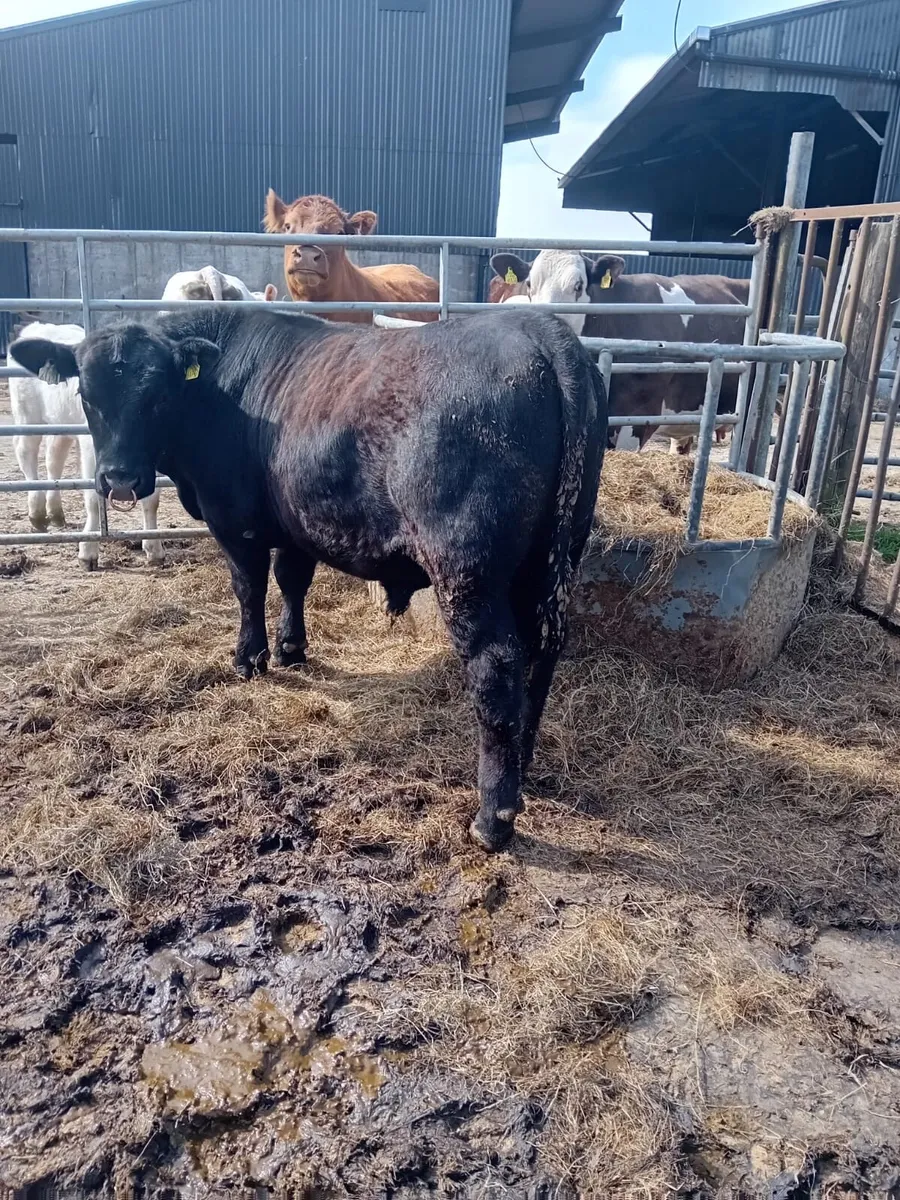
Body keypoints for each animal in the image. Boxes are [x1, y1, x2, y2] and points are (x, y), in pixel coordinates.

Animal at [8, 322, 163, 570]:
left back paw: (56, 513)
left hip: (61, 424)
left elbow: (152, 499)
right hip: (27, 416)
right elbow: (93, 497)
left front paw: (154, 547)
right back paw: (37, 513)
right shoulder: (93, 450)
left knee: (54, 457)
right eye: (86, 394)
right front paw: (88, 551)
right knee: (26, 452)